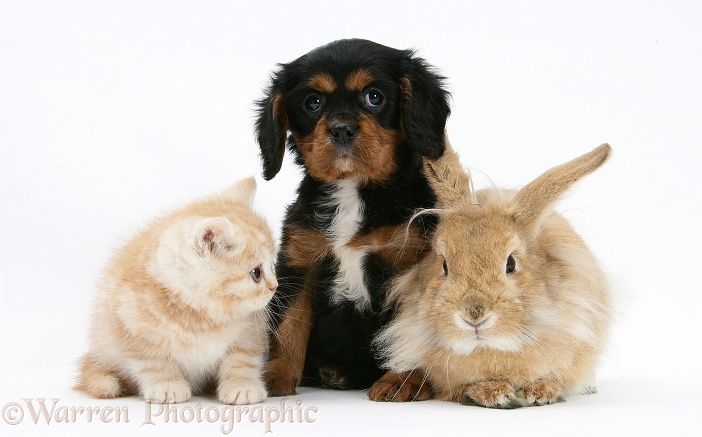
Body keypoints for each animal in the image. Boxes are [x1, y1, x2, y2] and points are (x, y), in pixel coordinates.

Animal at [75, 175, 278, 404]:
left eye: (273, 265)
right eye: (256, 273)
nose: (275, 286)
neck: (202, 317)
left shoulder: (251, 331)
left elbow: (242, 360)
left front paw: (242, 386)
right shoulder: (133, 329)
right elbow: (156, 362)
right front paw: (168, 386)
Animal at [258, 39, 452, 400]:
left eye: (374, 97)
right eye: (313, 102)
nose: (341, 129)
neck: (352, 189)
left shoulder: (410, 267)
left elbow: (407, 333)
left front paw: (401, 381)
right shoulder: (300, 264)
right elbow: (289, 325)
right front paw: (273, 379)